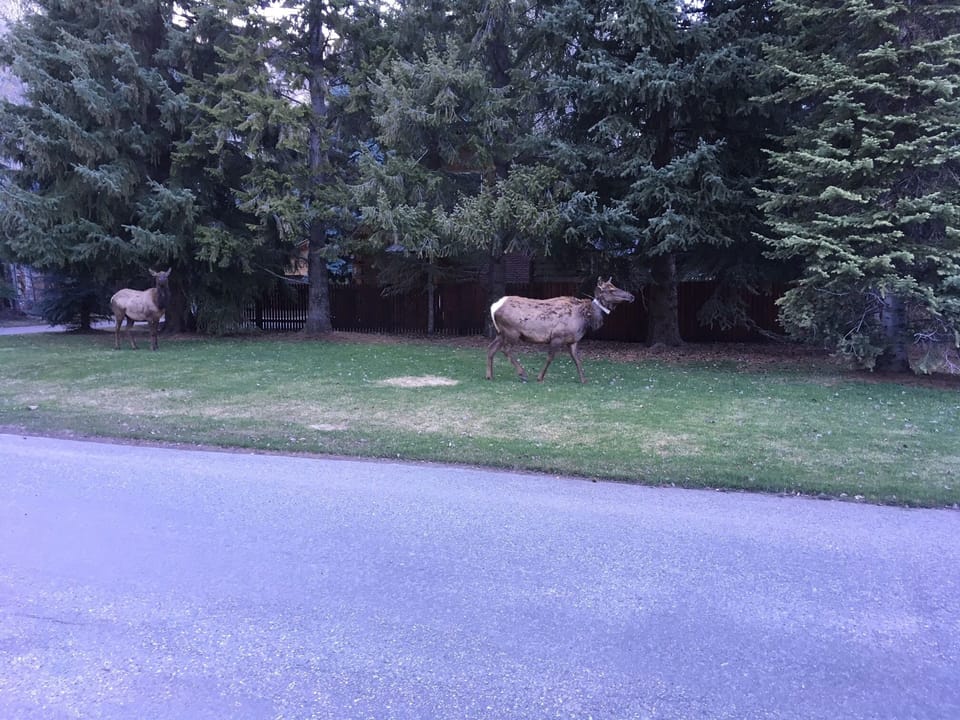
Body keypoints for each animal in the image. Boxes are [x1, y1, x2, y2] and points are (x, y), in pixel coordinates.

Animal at [486, 278, 635, 383]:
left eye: (615, 286)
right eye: (611, 290)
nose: (631, 296)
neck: (585, 318)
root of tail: (494, 306)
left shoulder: (573, 340)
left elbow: (577, 359)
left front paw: (584, 380)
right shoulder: (557, 337)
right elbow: (550, 357)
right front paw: (540, 377)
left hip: (501, 333)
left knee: (491, 348)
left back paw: (489, 376)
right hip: (512, 332)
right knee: (505, 349)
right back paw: (523, 374)